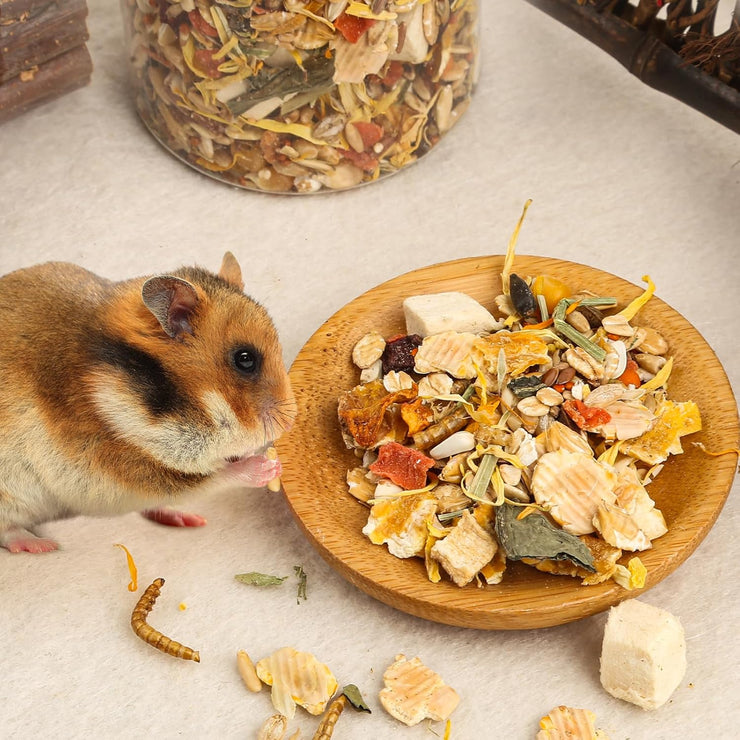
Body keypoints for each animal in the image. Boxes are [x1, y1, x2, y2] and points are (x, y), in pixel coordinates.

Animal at [0, 252, 296, 553]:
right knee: (8, 530)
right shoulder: (121, 467)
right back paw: (42, 545)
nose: (290, 422)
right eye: (245, 359)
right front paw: (267, 467)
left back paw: (187, 519)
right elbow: (210, 477)